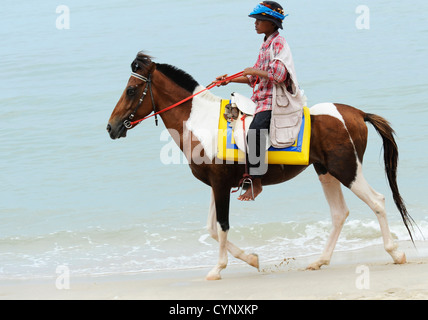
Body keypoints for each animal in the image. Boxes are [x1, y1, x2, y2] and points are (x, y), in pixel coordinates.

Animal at [107, 52, 414, 280]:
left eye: (131, 90)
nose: (111, 127)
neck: (200, 122)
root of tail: (358, 113)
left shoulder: (220, 185)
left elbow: (222, 225)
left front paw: (217, 269)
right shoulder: (217, 184)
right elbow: (211, 228)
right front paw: (252, 259)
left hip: (348, 170)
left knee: (377, 201)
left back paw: (396, 253)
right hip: (326, 172)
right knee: (340, 213)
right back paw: (320, 260)